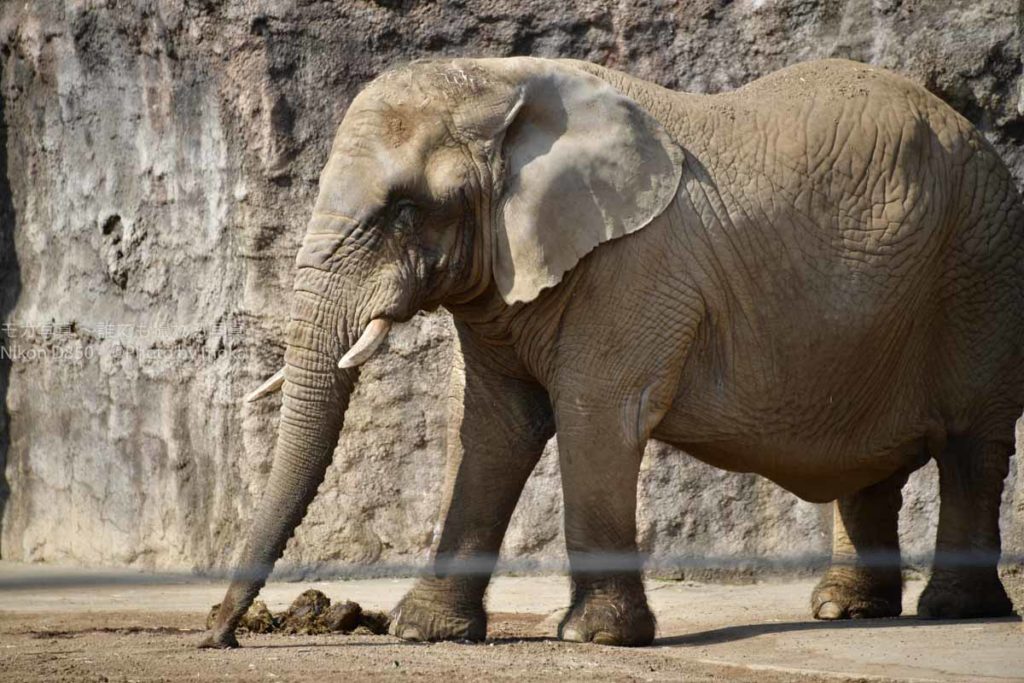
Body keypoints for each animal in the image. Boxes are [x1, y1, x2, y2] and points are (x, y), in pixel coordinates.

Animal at [200, 57, 1023, 648]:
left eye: (404, 211)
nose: (220, 636)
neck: (501, 87)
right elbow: (493, 429)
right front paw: (424, 631)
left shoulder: (635, 264)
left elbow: (596, 415)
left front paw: (592, 637)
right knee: (871, 470)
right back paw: (843, 611)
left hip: (981, 272)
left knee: (973, 449)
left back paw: (953, 610)